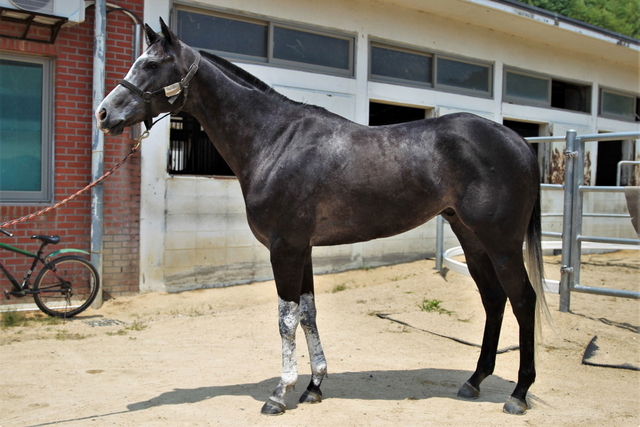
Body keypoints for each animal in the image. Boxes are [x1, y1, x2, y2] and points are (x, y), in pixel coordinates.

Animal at [96, 20, 552, 418]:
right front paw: (314, 386)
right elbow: (308, 313)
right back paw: (474, 380)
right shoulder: (304, 249)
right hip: (472, 238)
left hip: (502, 244)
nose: (104, 114)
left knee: (523, 300)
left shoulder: (284, 249)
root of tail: (517, 140)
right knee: (493, 300)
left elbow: (286, 319)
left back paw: (518, 393)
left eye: (151, 64)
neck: (275, 140)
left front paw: (279, 393)